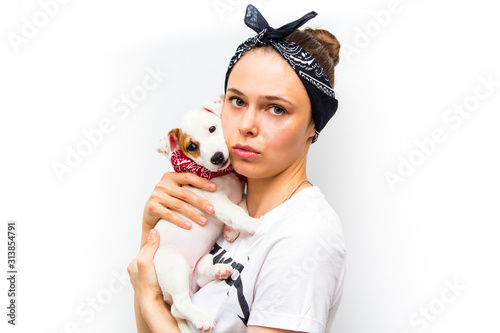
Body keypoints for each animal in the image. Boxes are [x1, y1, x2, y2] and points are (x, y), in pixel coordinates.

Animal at [154, 94, 260, 332]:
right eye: (192, 146)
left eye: (212, 128)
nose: (217, 157)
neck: (222, 176)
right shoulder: (215, 201)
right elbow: (236, 211)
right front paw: (253, 225)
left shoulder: (238, 191)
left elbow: (241, 204)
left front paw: (231, 231)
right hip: (175, 267)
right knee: (178, 305)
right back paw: (201, 318)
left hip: (201, 261)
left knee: (200, 280)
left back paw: (219, 271)